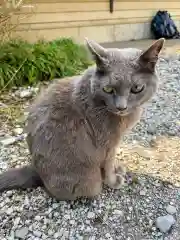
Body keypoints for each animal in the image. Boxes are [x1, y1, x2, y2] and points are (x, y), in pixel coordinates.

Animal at [0, 37, 165, 201]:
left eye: (136, 88)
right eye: (108, 89)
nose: (121, 107)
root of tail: (37, 171)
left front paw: (117, 168)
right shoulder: (107, 143)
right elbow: (108, 163)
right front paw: (113, 181)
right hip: (88, 181)